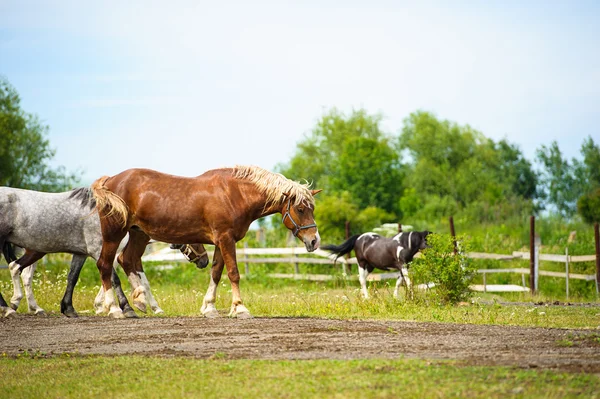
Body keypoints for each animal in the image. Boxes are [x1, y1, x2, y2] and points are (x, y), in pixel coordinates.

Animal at [0, 187, 209, 318]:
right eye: (195, 238)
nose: (204, 261)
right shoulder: (106, 253)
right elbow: (114, 278)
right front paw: (118, 307)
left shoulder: (89, 253)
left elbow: (77, 277)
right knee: (20, 271)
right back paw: (13, 307)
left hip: (37, 251)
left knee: (19, 270)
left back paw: (30, 307)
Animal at [91, 166, 322, 318]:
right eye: (301, 209)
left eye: (312, 209)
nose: (314, 241)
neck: (235, 194)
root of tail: (110, 180)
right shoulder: (226, 238)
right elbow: (233, 273)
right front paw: (240, 308)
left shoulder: (221, 241)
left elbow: (216, 273)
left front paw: (209, 307)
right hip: (114, 234)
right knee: (105, 265)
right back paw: (114, 309)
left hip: (139, 234)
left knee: (126, 259)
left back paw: (139, 300)